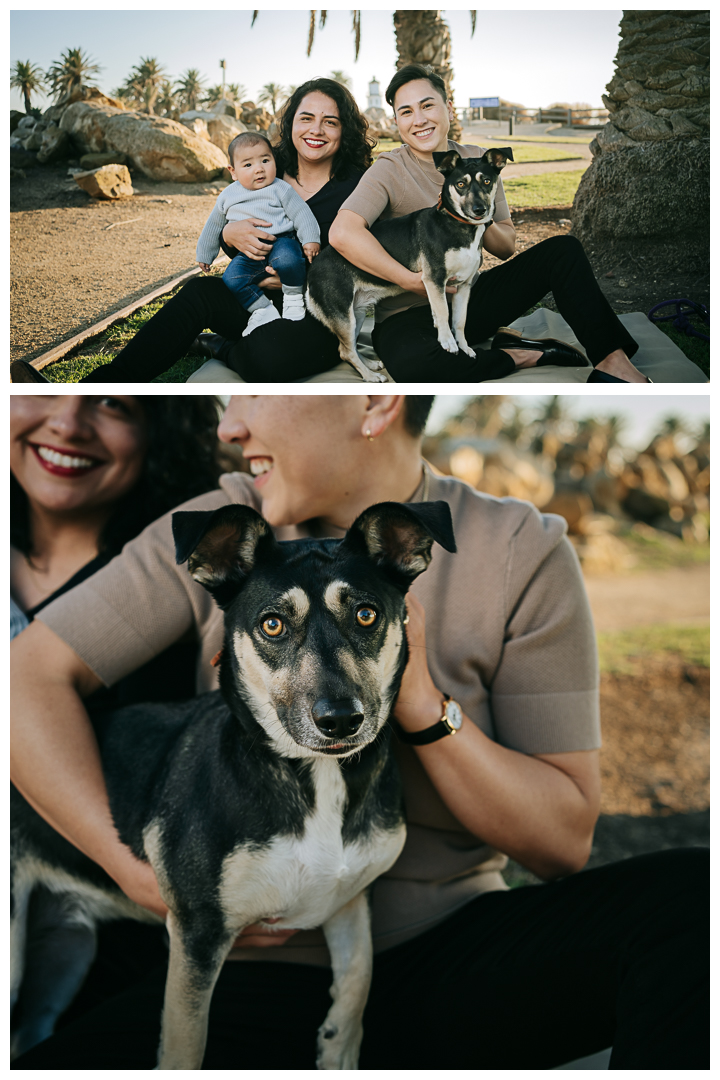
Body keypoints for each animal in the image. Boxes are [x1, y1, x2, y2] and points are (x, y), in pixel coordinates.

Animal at [9, 498, 455, 1071]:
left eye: (366, 614)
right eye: (272, 624)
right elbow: (185, 1045)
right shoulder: (198, 935)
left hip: (66, 949)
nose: (340, 720)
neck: (312, 775)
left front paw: (337, 1049)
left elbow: (358, 981)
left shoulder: (350, 900)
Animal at [306, 143, 515, 380]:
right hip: (342, 314)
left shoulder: (463, 286)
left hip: (356, 313)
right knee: (345, 351)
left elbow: (460, 321)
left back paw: (370, 364)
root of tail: (313, 268)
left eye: (487, 181)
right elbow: (443, 313)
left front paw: (464, 347)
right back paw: (370, 376)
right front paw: (448, 342)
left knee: (351, 347)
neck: (458, 225)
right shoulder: (435, 280)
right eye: (461, 184)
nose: (480, 210)